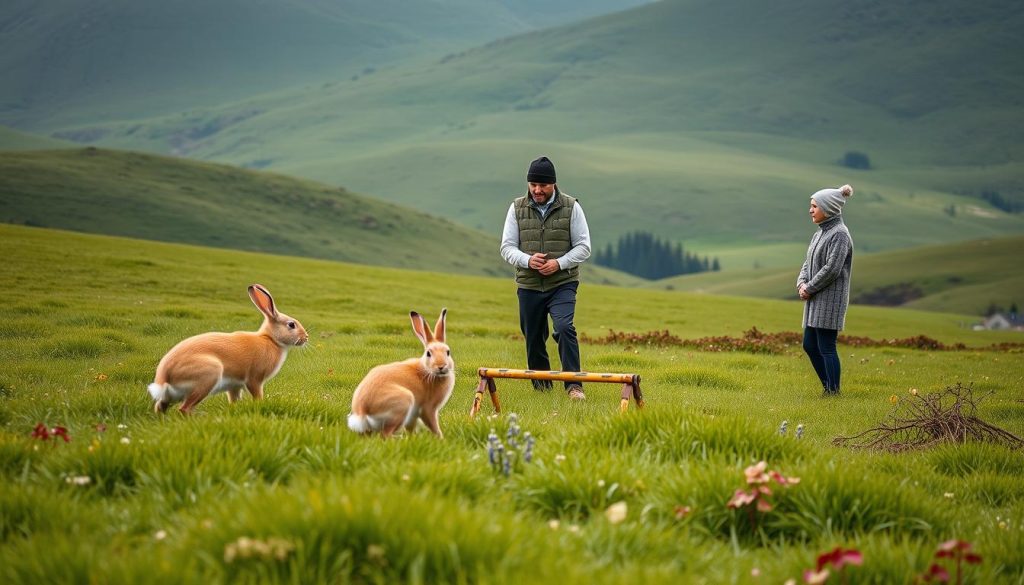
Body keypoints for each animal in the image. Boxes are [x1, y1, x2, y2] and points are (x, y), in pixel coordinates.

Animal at [147, 284, 307, 413]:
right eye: (291, 325)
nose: (306, 337)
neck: (271, 340)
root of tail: (164, 378)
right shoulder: (255, 379)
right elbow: (257, 394)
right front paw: (260, 404)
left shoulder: (234, 386)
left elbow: (233, 399)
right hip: (208, 376)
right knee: (184, 408)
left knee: (161, 406)